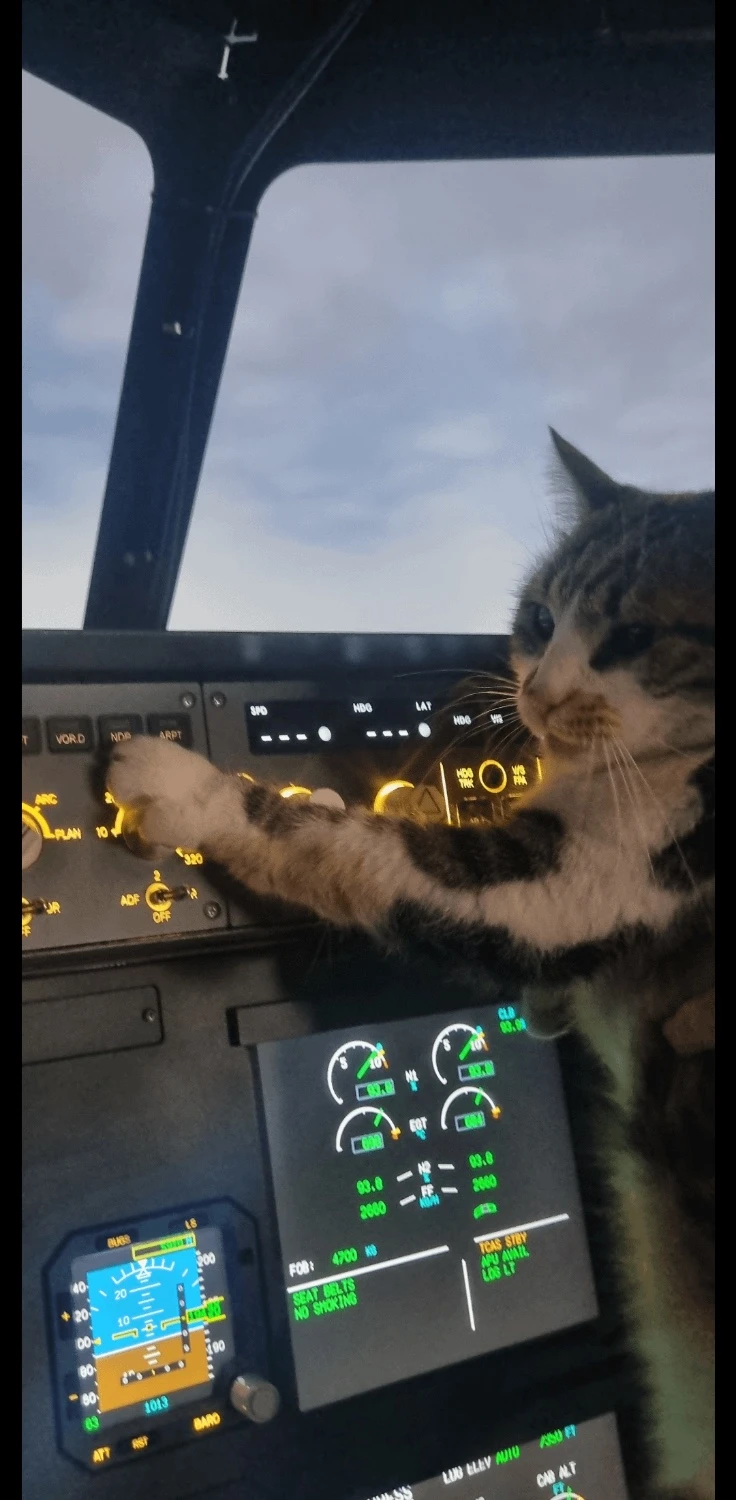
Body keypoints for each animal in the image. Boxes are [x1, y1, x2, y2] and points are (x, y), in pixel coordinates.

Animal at [106, 429, 716, 1494]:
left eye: (636, 636)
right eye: (540, 615)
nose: (538, 693)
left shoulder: (572, 876)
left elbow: (345, 846)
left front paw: (186, 789)